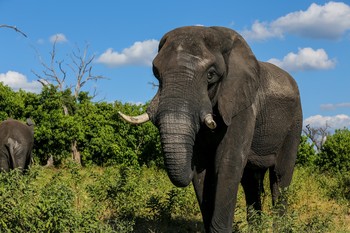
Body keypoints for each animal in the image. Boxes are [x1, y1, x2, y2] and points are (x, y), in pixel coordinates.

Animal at [119, 26, 302, 232]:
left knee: (280, 176)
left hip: (294, 123)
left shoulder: (243, 106)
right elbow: (203, 168)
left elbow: (227, 163)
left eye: (210, 75)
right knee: (250, 181)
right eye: (156, 73)